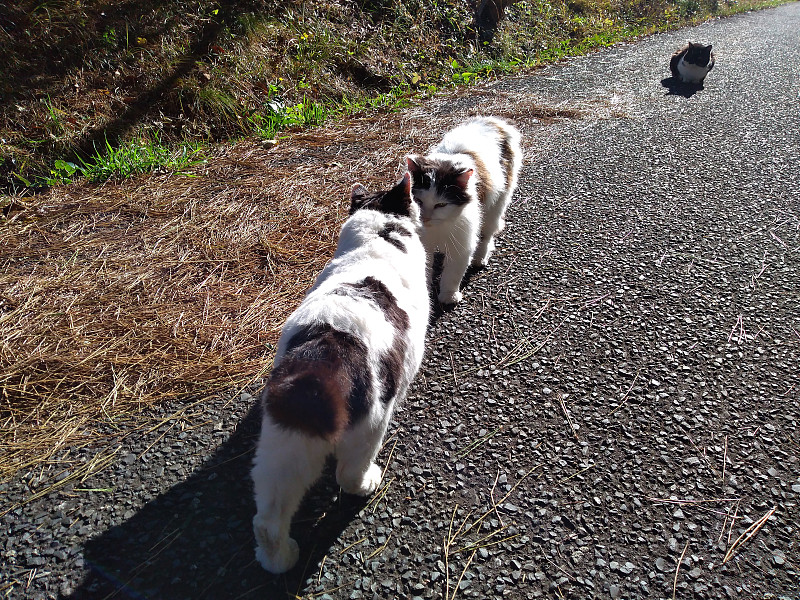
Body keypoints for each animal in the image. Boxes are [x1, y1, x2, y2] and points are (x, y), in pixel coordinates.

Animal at [253, 171, 434, 576]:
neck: (378, 236)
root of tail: (322, 359)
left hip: (283, 444)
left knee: (268, 518)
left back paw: (278, 559)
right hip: (372, 423)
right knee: (348, 475)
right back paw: (370, 482)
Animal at [406, 115, 524, 304]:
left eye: (441, 205)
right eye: (418, 200)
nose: (425, 218)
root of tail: (494, 121)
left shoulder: (462, 245)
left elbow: (452, 275)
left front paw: (448, 296)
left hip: (496, 205)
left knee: (486, 235)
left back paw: (480, 258)